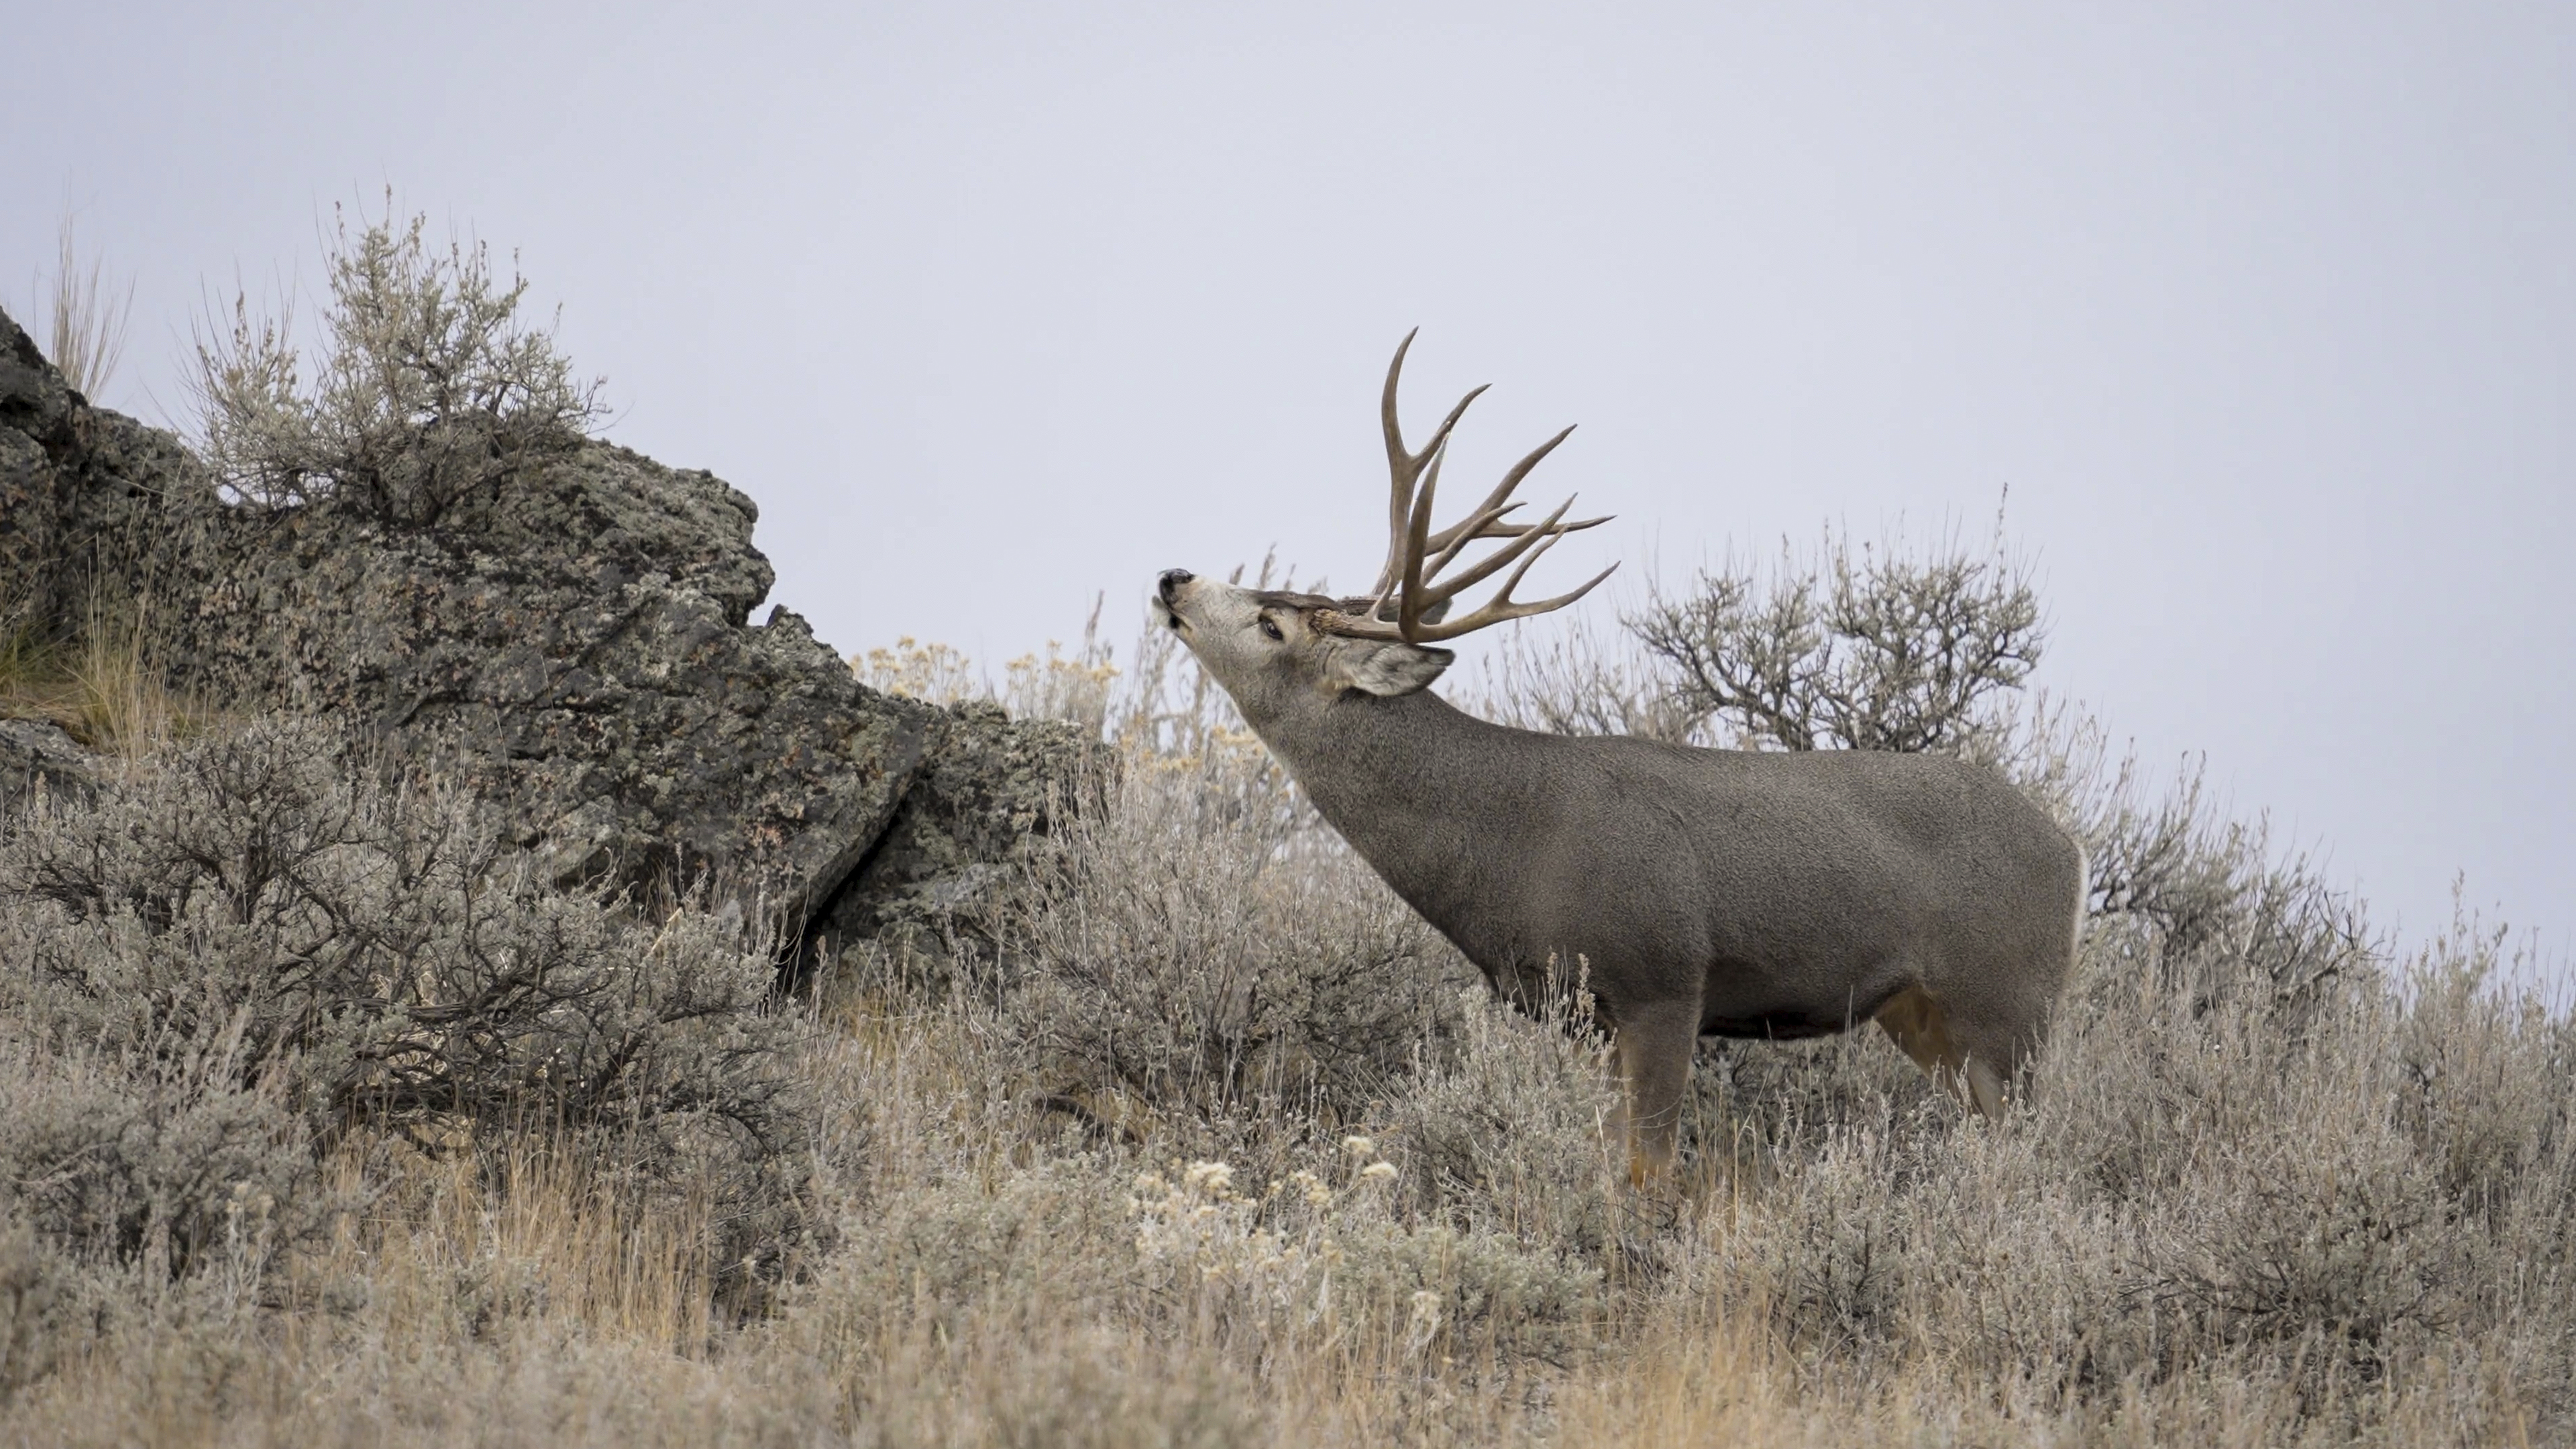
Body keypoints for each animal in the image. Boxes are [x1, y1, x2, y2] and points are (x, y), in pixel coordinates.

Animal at [1152, 332, 2088, 1182]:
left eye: (1272, 623)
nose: (1172, 577)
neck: (1510, 841)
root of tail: (2073, 849)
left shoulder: (1663, 977)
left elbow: (1647, 1171)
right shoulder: (1581, 1015)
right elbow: (1609, 1160)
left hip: (2008, 1002)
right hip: (1923, 1017)